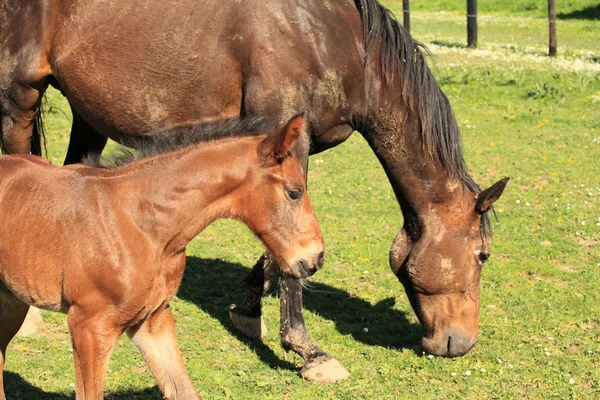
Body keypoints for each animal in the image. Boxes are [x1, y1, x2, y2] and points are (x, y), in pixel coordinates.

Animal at [0, 114, 326, 398]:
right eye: (295, 192)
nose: (316, 259)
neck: (143, 224)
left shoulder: (153, 320)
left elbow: (183, 390)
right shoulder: (87, 327)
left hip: (12, 301)